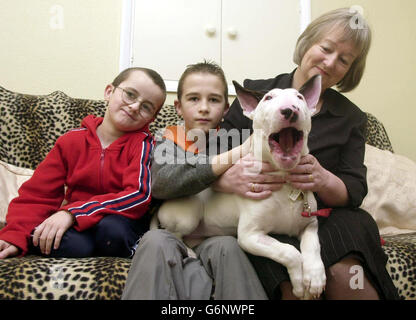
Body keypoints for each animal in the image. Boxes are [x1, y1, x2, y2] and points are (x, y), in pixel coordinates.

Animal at [153, 75, 328, 300]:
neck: (284, 179)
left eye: (300, 98)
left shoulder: (310, 224)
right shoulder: (250, 236)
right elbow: (289, 251)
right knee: (173, 234)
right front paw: (299, 284)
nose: (290, 110)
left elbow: (313, 246)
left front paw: (314, 278)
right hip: (188, 214)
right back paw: (189, 252)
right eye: (268, 98)